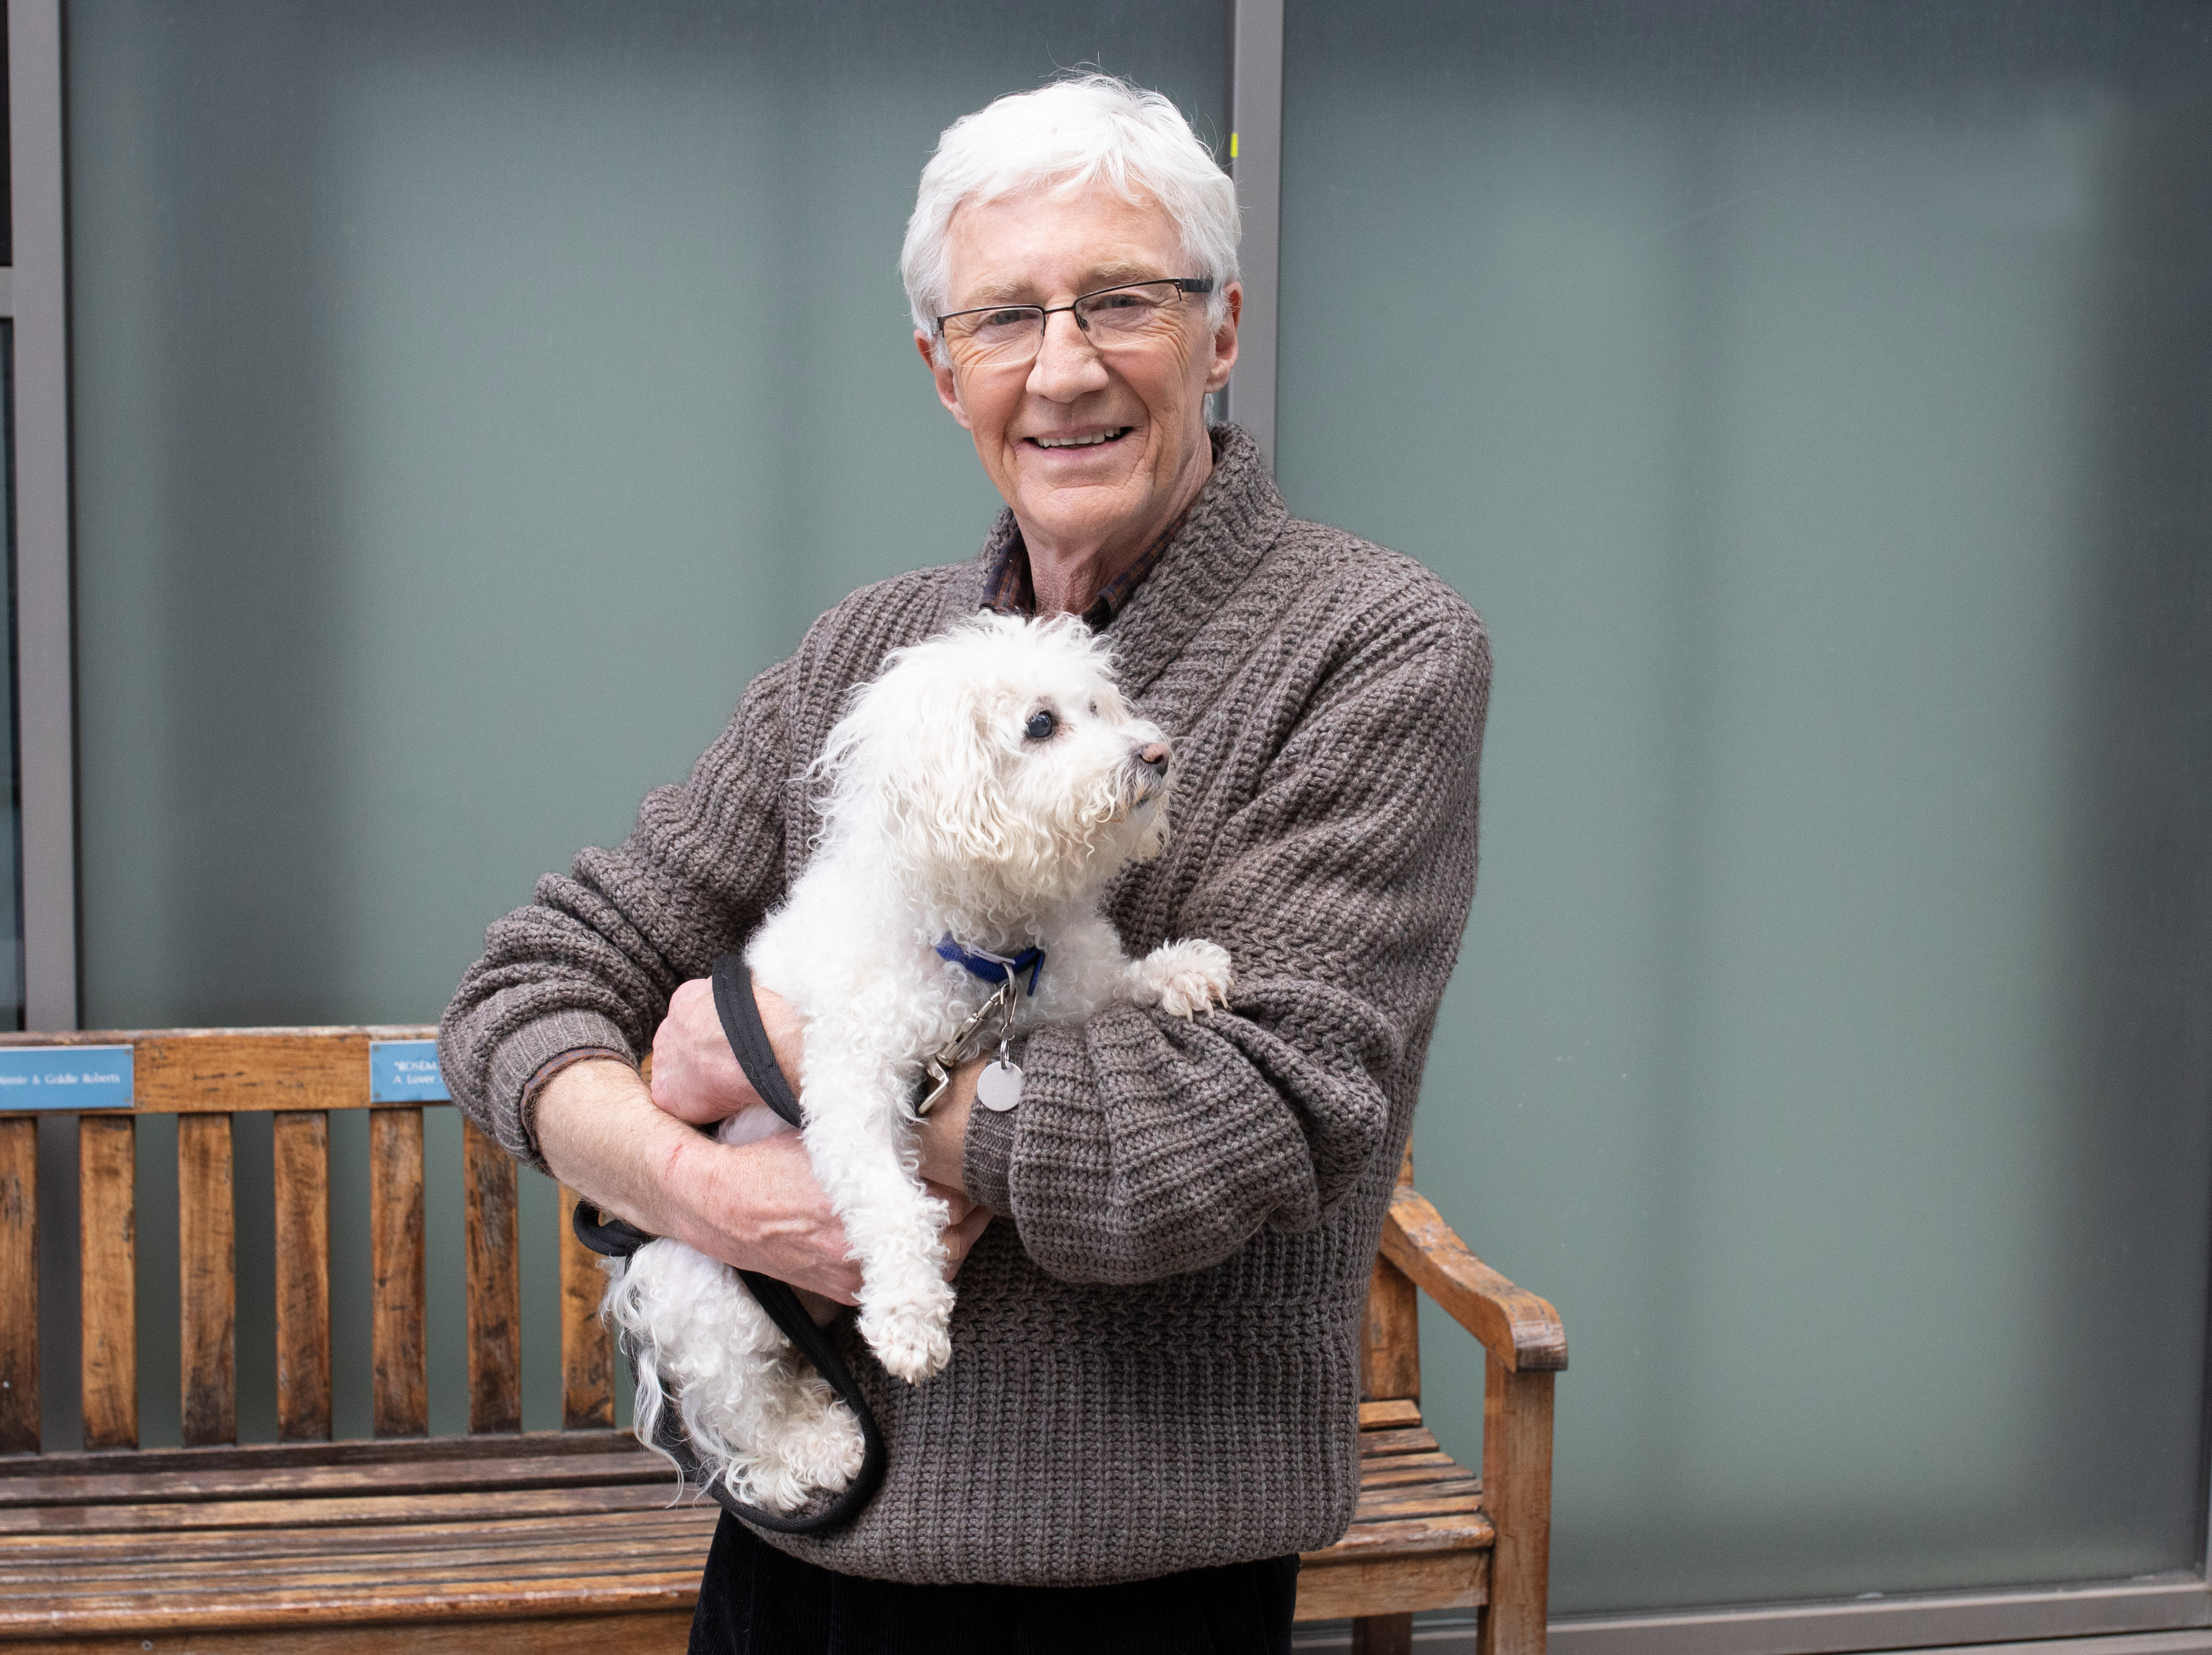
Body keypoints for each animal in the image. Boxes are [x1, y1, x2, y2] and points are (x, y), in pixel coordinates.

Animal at [606, 610, 1229, 1513]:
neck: (985, 953)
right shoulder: (849, 1082)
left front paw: (1182, 971)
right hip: (716, 1299)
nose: (1157, 754)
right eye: (1041, 724)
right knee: (744, 1404)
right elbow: (891, 1206)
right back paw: (813, 1450)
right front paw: (909, 1319)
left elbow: (1117, 981)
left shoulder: (1066, 987)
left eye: (1100, 706)